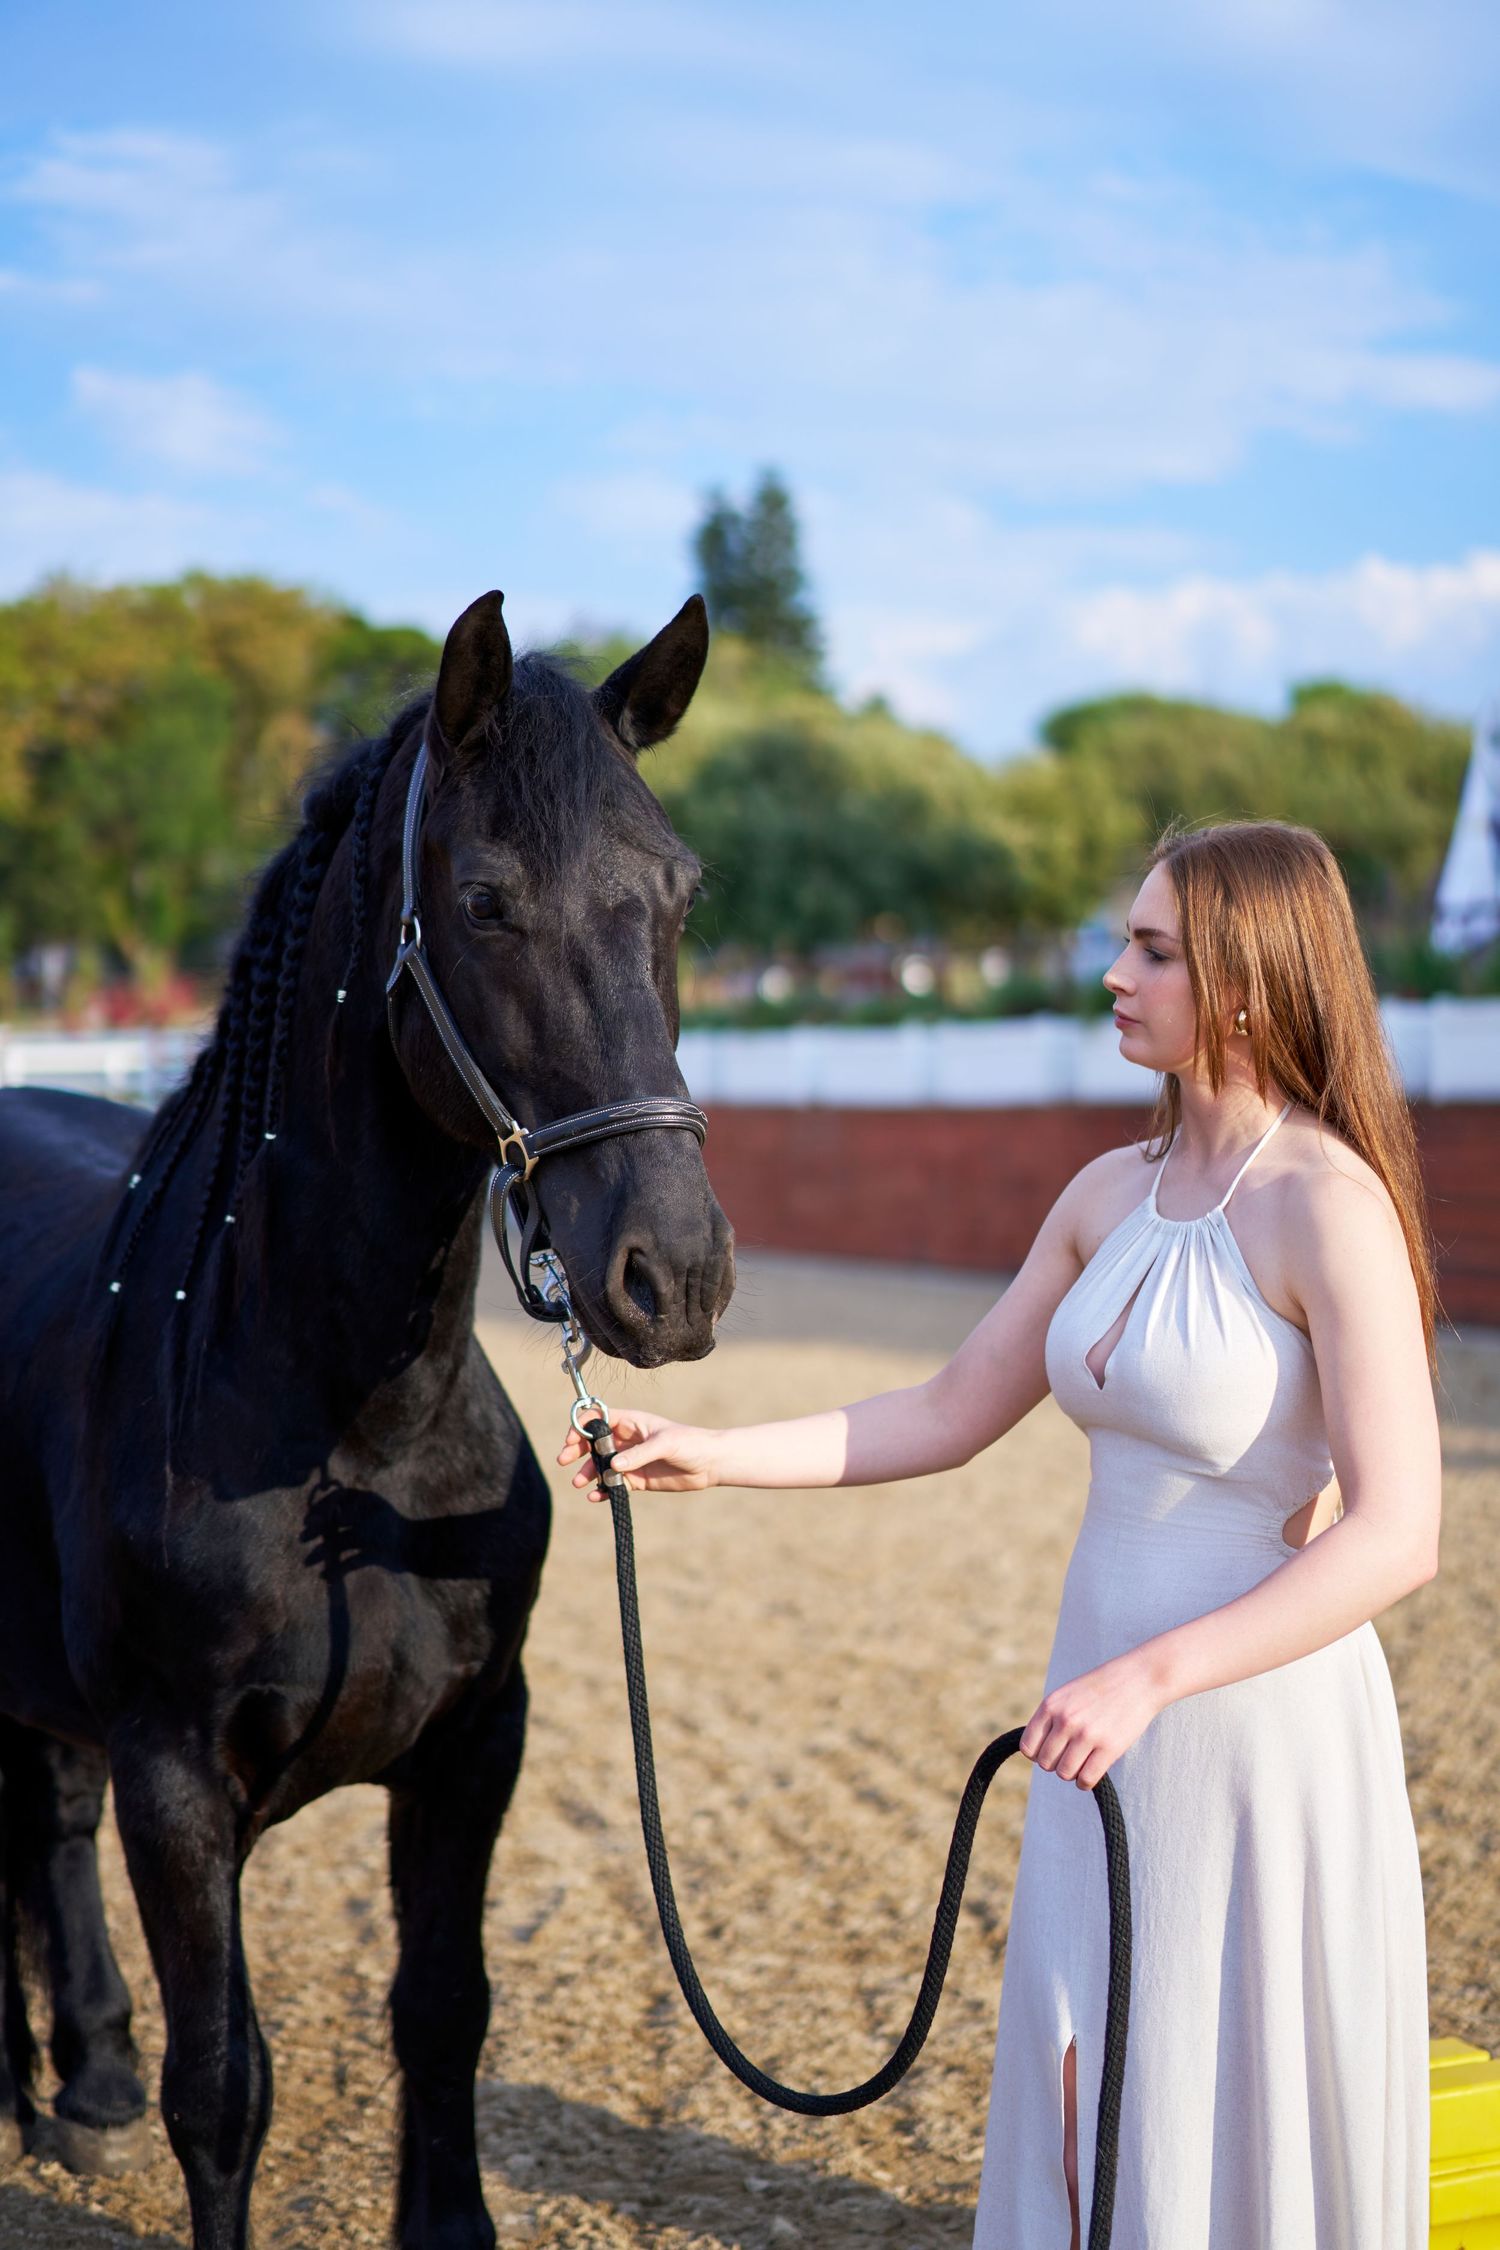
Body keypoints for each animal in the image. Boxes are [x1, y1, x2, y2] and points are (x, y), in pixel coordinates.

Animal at [0, 586, 736, 2249]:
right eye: (485, 899)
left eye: (679, 892)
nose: (672, 1275)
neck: (350, 1431)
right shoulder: (177, 1781)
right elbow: (225, 2089)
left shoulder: (474, 1742)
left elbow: (443, 2007)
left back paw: (82, 2082)